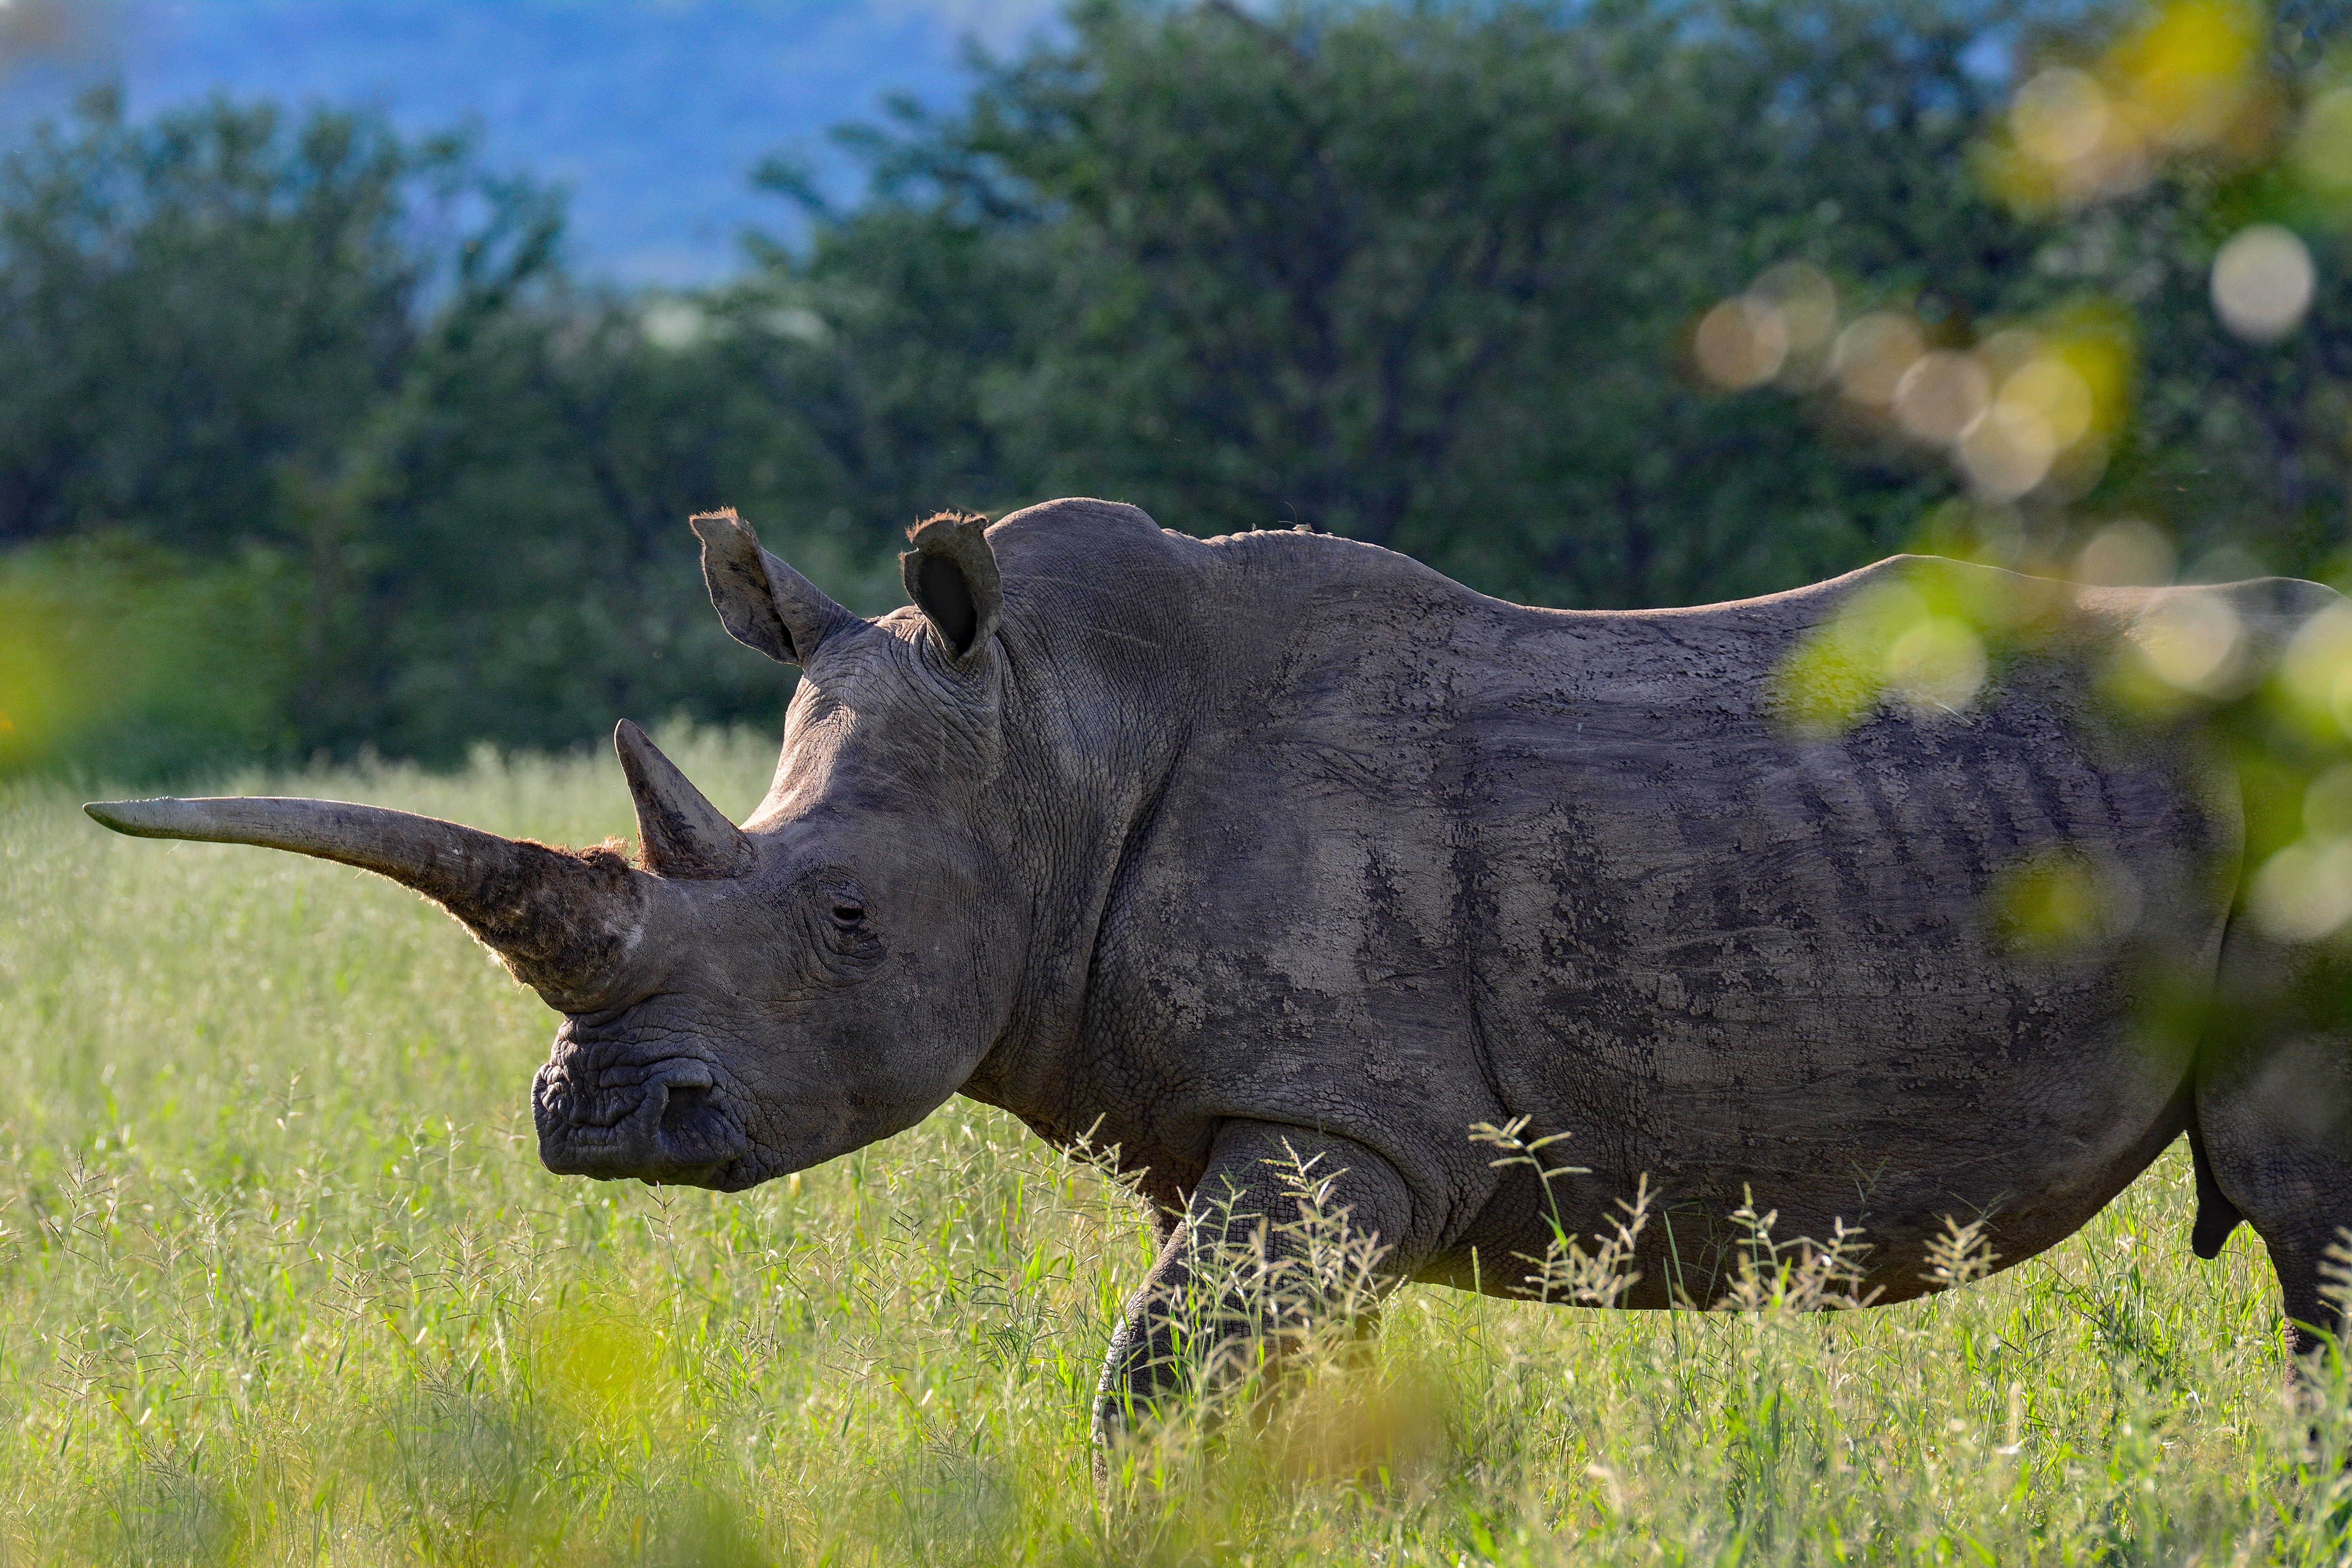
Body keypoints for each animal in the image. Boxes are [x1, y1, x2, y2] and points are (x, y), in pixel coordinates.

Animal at [88, 498, 2352, 1436]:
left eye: (843, 919)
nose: (591, 1123)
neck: (1054, 750)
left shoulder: (1339, 1117)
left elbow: (1151, 1384)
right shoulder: (1274, 1133)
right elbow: (1254, 1382)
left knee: (2310, 1225)